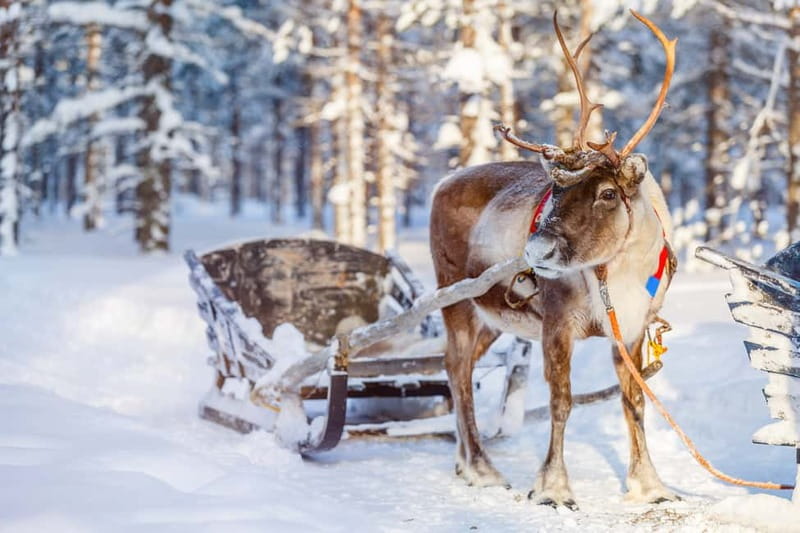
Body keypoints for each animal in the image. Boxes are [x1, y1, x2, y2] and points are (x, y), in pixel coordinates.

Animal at [429, 11, 678, 510]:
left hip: (493, 316)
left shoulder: (632, 328)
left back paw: (466, 464)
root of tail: (439, 185)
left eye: (608, 193)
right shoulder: (558, 323)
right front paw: (553, 488)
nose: (537, 250)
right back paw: (482, 468)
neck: (617, 274)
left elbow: (635, 401)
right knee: (458, 371)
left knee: (456, 366)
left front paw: (650, 486)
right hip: (456, 300)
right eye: (557, 190)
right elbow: (561, 401)